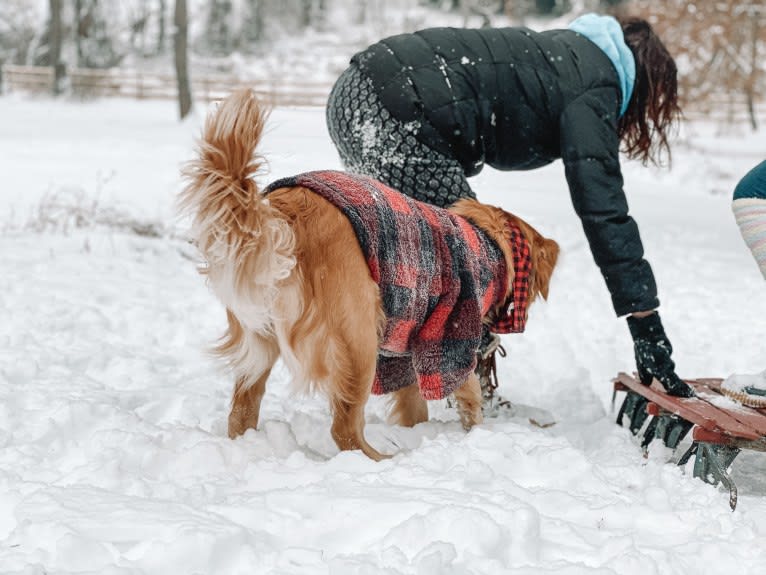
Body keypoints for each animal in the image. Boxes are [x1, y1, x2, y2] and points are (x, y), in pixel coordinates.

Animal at [183, 90, 560, 462]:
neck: (488, 244)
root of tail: (285, 214)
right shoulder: (449, 334)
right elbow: (466, 392)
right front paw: (475, 431)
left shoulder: (403, 349)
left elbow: (413, 401)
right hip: (357, 339)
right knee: (344, 429)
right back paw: (383, 459)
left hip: (259, 338)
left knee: (242, 410)